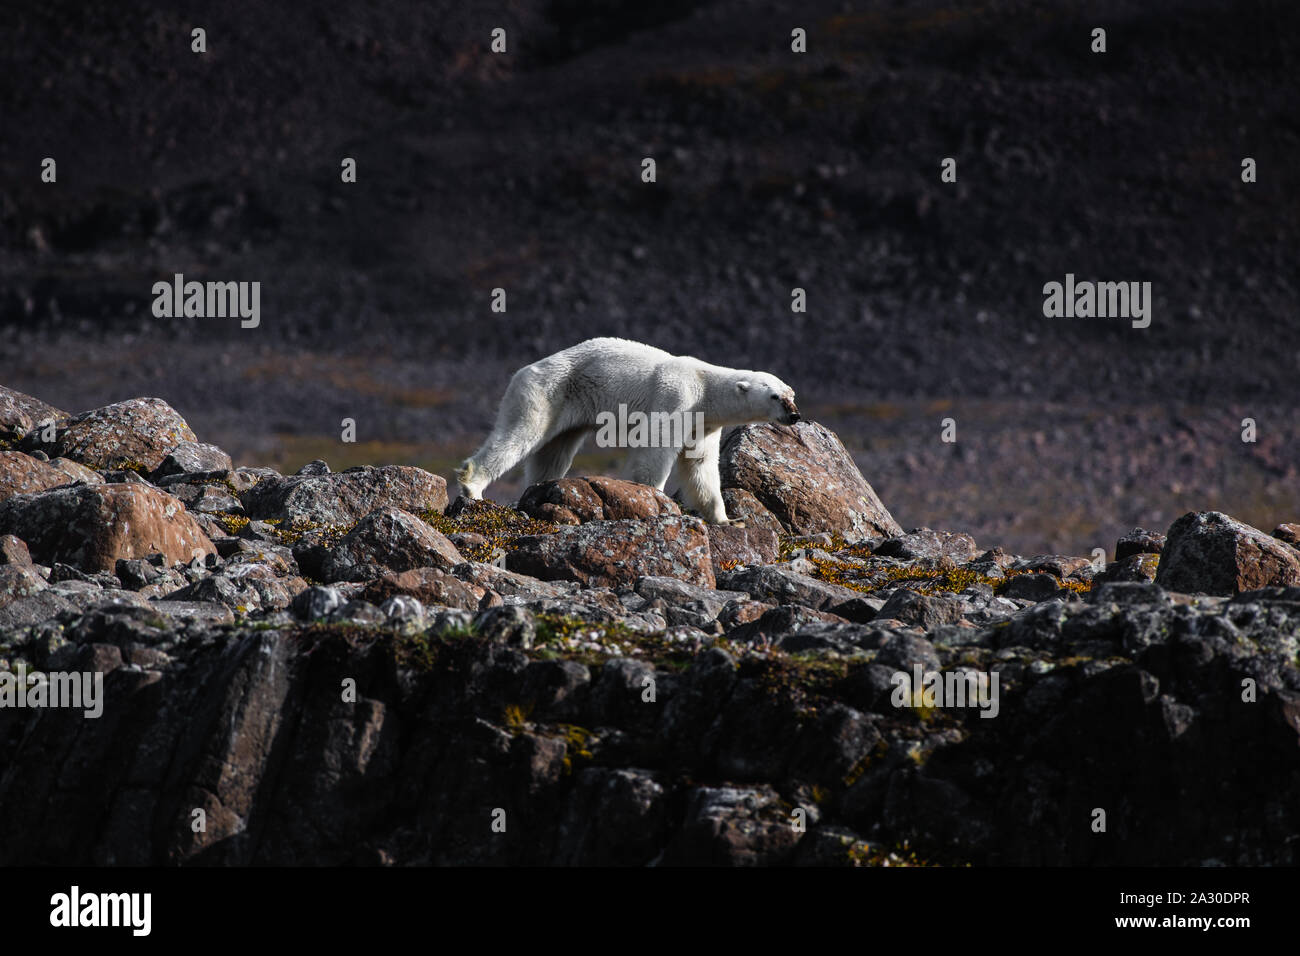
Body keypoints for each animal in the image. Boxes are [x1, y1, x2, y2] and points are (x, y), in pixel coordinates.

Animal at [457, 335, 800, 528]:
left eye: (792, 394)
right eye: (775, 397)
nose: (795, 415)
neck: (706, 388)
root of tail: (525, 370)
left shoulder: (704, 424)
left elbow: (700, 466)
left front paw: (728, 520)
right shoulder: (677, 398)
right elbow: (655, 448)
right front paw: (653, 498)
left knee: (553, 454)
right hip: (545, 394)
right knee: (519, 435)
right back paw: (473, 486)